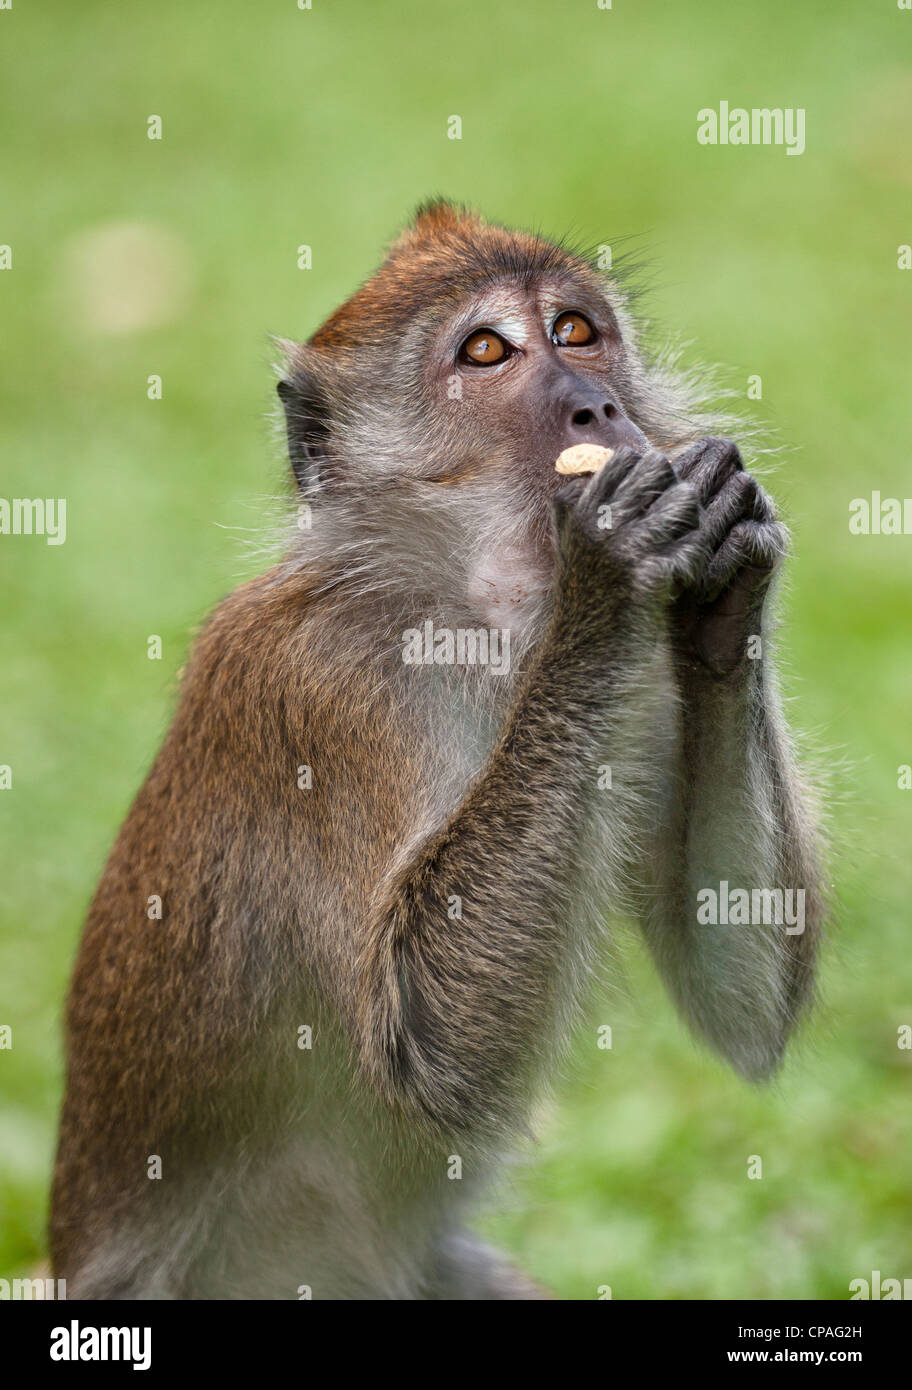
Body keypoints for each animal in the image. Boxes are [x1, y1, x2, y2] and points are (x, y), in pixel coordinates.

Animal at [51, 201, 828, 1295]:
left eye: (577, 331)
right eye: (488, 351)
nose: (596, 404)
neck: (477, 618)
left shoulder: (644, 700)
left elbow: (738, 993)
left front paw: (730, 584)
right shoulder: (325, 696)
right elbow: (425, 1046)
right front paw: (605, 572)